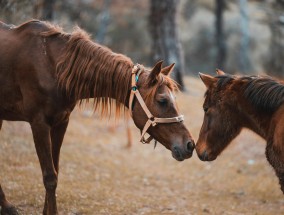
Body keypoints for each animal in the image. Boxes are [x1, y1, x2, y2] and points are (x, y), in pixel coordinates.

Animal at [0, 20, 195, 215]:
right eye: (162, 100)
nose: (189, 145)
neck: (53, 67)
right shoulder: (39, 123)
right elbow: (49, 177)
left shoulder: (61, 122)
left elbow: (55, 170)